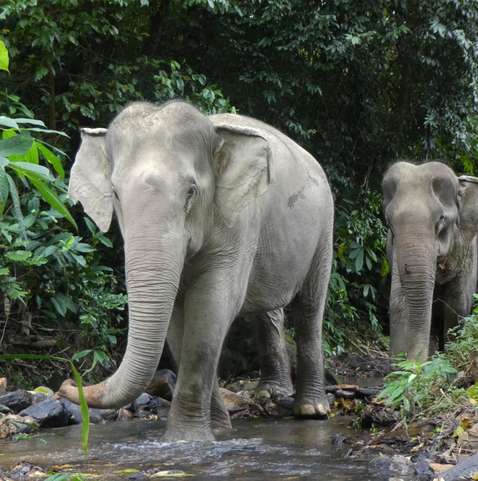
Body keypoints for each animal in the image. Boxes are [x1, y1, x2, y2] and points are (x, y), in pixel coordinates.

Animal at [58, 98, 334, 438]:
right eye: (116, 194)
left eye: (191, 192)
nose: (66, 381)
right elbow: (178, 316)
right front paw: (217, 429)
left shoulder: (239, 218)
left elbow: (212, 304)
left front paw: (188, 439)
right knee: (268, 309)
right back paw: (270, 394)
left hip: (324, 225)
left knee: (310, 308)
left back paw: (311, 410)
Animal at [382, 161, 478, 360]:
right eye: (389, 222)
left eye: (441, 219)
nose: (414, 362)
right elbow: (398, 302)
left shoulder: (468, 253)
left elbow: (457, 307)